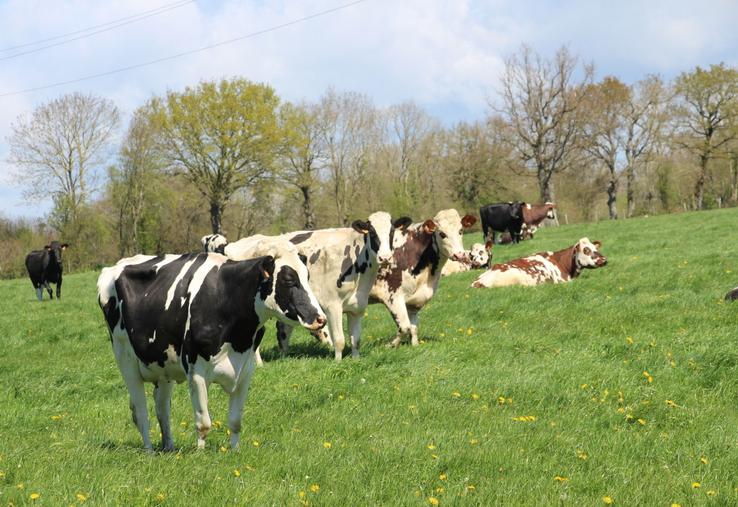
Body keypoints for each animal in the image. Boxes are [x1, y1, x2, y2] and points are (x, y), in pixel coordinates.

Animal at [96, 250, 324, 452]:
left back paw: (168, 447)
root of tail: (114, 266)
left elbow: (235, 421)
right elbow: (203, 422)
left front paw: (234, 451)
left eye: (308, 278)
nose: (320, 318)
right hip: (125, 358)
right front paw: (200, 453)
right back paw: (150, 450)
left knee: (162, 409)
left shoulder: (246, 370)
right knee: (141, 412)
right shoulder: (196, 370)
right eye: (289, 281)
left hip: (163, 365)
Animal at [368, 208, 478, 348]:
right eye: (442, 234)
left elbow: (413, 327)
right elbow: (404, 327)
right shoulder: (392, 296)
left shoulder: (414, 301)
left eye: (461, 230)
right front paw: (390, 345)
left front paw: (414, 346)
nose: (459, 255)